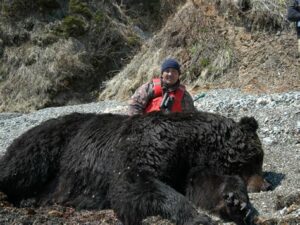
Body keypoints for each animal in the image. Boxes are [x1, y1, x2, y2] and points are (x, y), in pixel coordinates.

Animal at [0, 111, 270, 224]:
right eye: (257, 158)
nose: (266, 184)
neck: (189, 141)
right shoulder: (146, 143)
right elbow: (133, 183)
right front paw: (196, 216)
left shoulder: (188, 165)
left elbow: (205, 185)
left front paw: (236, 202)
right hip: (49, 145)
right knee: (20, 167)